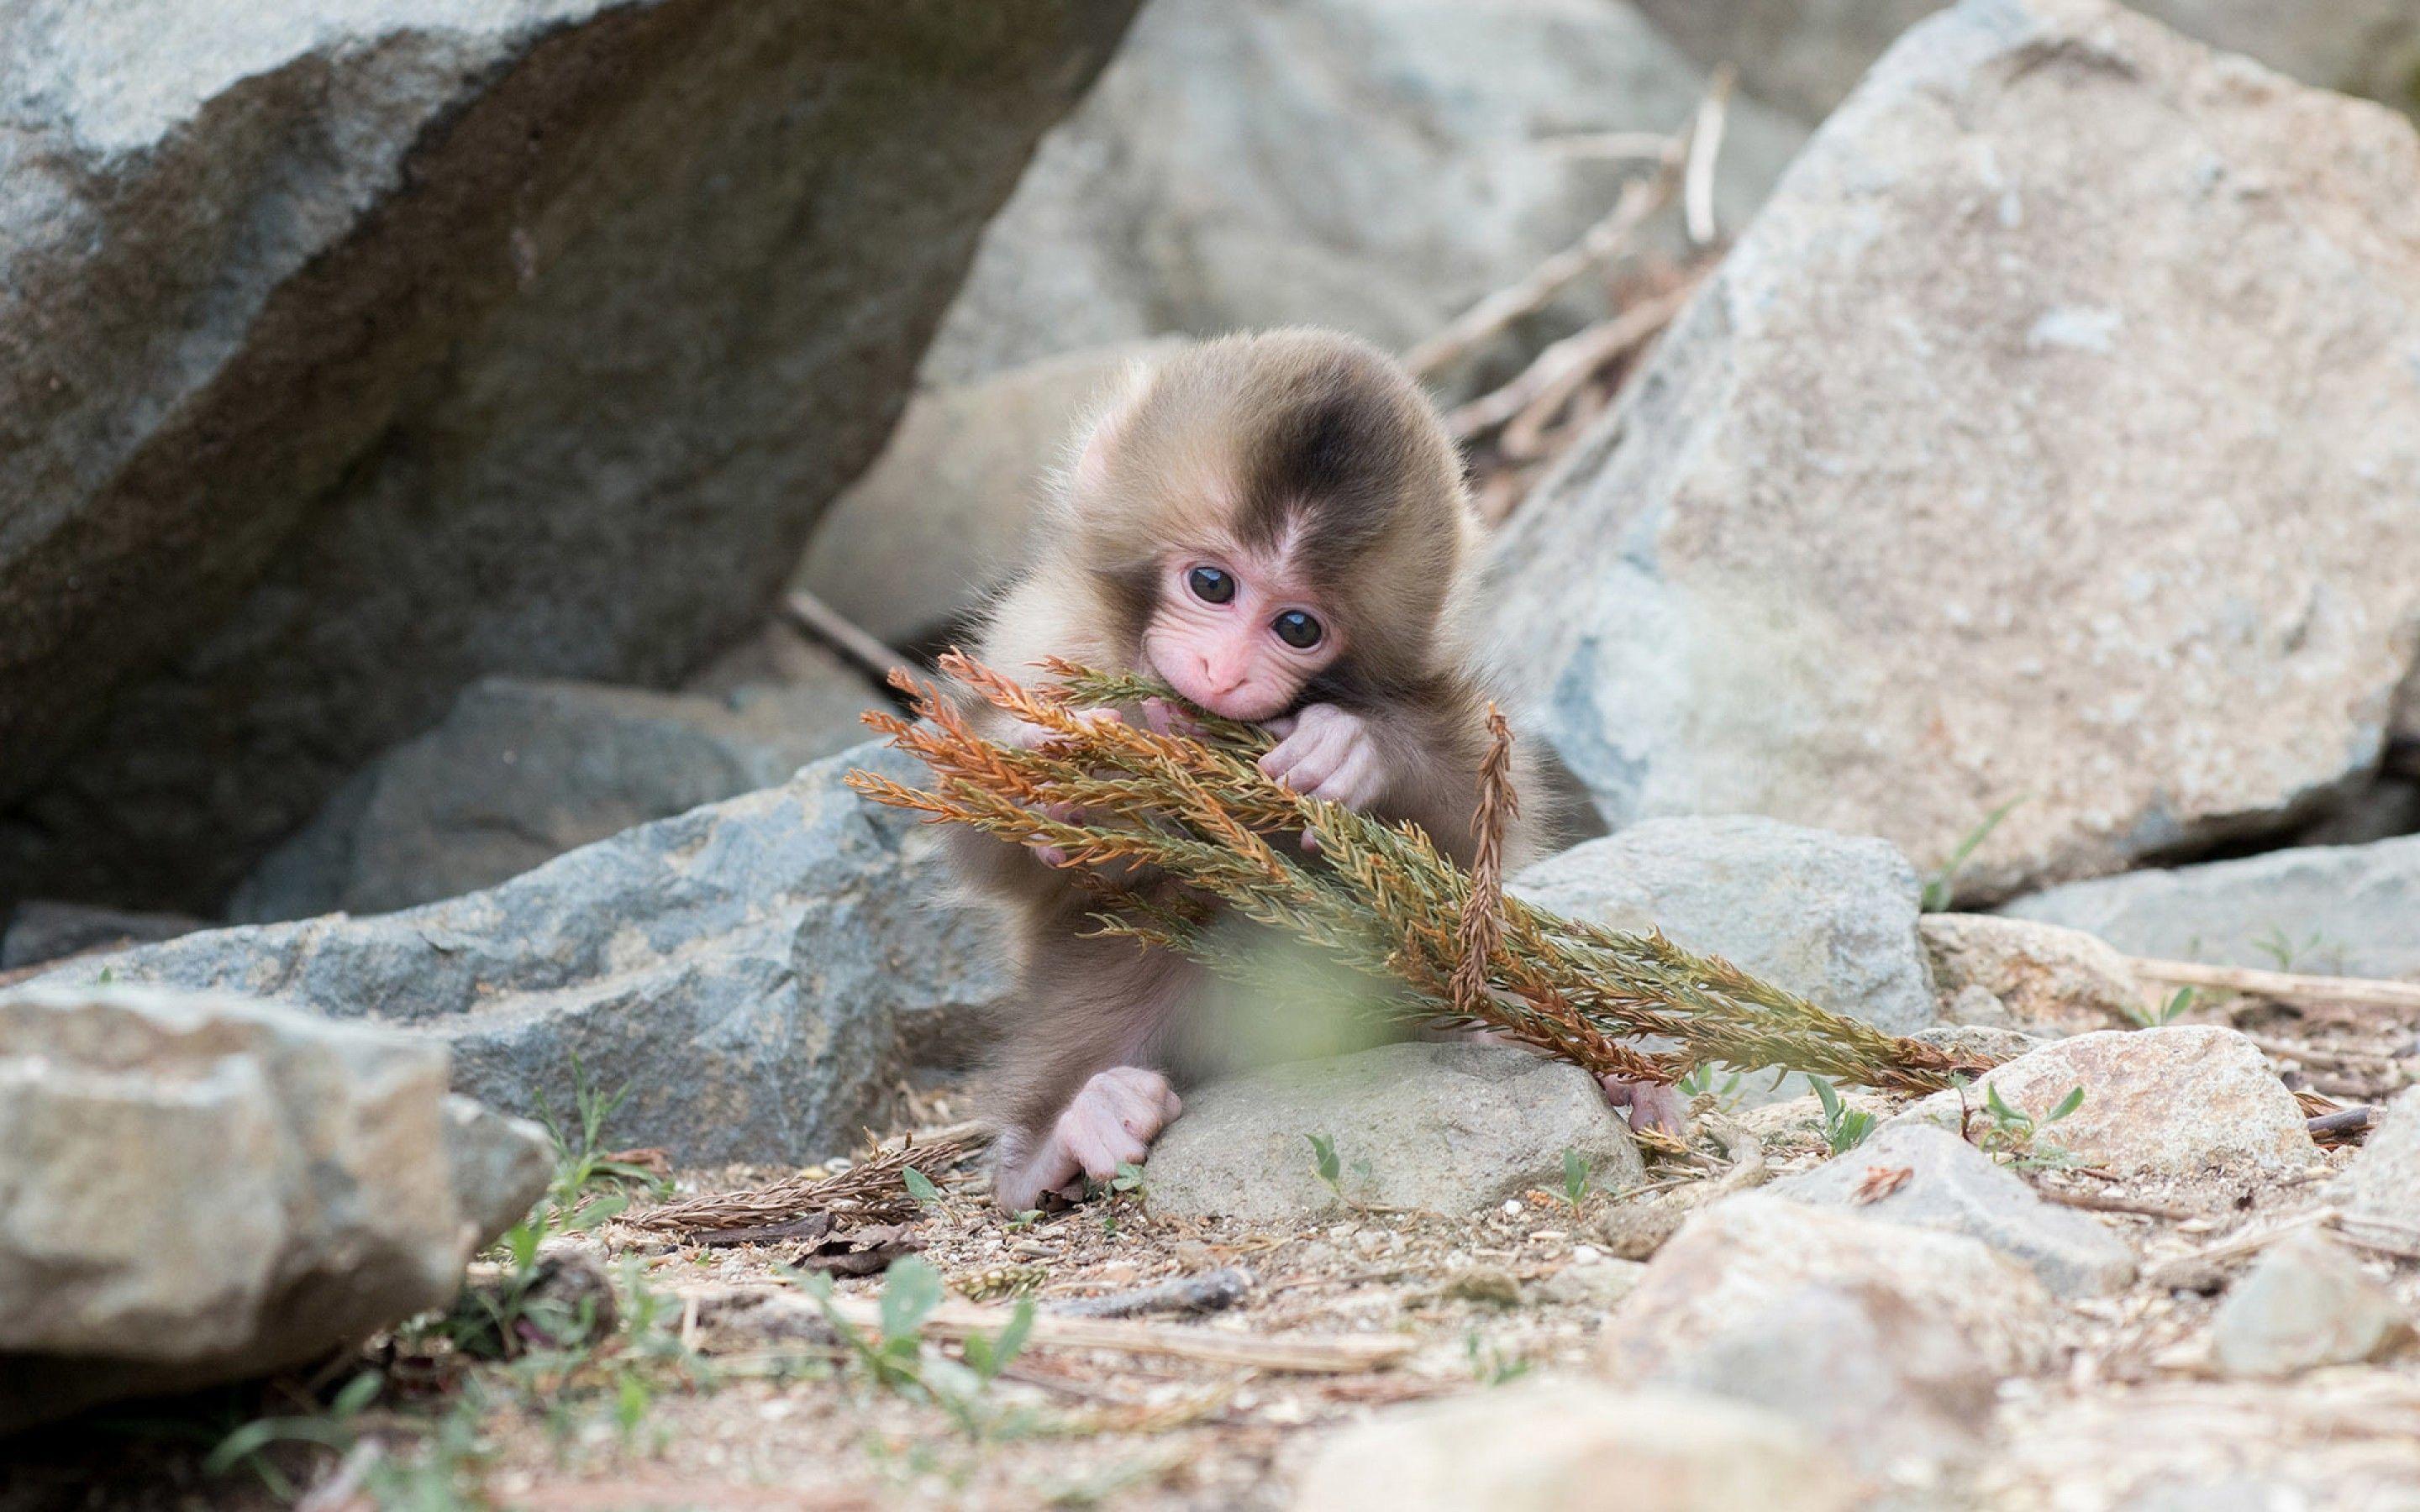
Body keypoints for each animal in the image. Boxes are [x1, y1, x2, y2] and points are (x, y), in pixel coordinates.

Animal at [963, 326, 1684, 1205]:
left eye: (1298, 628)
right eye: (1212, 583)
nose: (1225, 672)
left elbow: (1473, 832)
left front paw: (1348, 745)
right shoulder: (1040, 638)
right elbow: (990, 853)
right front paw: (1054, 773)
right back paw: (1063, 1135)